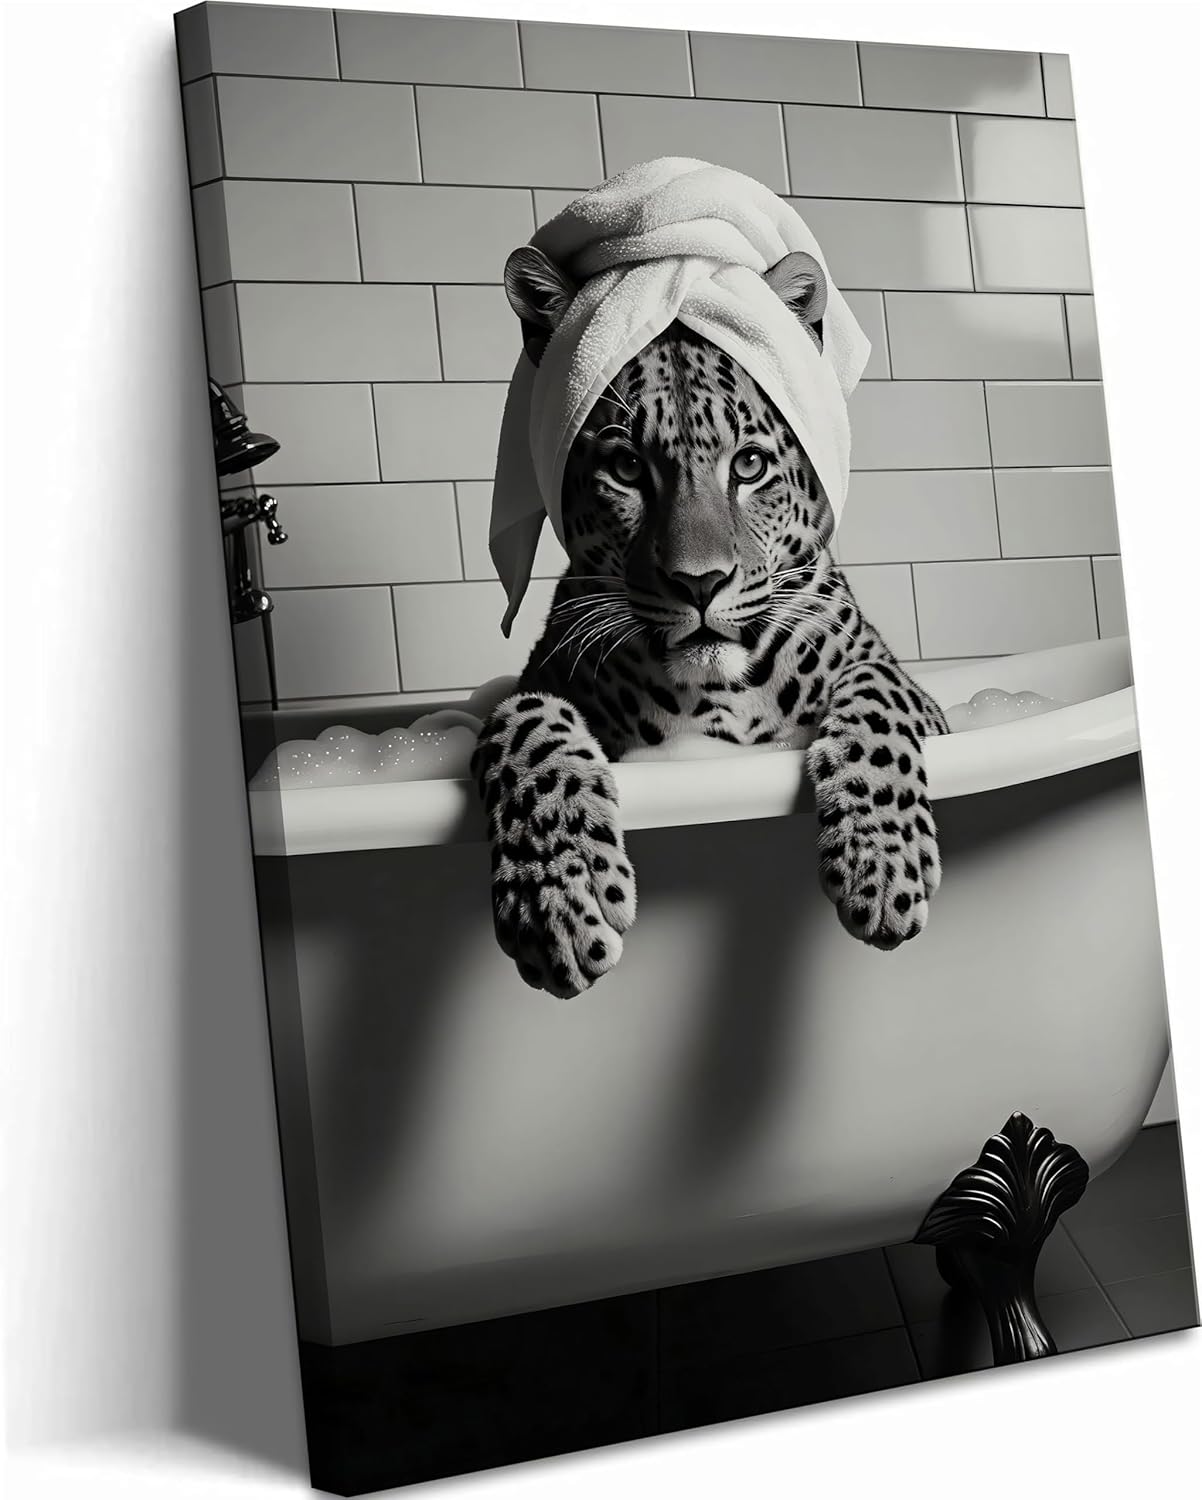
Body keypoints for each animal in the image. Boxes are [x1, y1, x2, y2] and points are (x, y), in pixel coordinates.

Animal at [470, 243, 949, 999]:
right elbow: (521, 722)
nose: (700, 582)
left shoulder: (911, 692)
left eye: (749, 465)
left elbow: (875, 698)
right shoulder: (538, 682)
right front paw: (558, 899)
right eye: (625, 468)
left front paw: (880, 866)